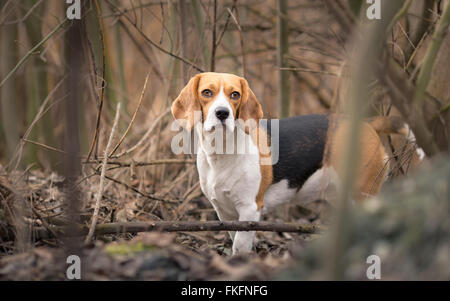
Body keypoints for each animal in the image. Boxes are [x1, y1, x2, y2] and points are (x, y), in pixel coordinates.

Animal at [171, 72, 418, 253]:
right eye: (206, 92)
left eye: (235, 94)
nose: (222, 113)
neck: (222, 151)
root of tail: (367, 123)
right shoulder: (224, 211)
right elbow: (235, 237)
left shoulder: (250, 208)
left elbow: (240, 245)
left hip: (363, 193)